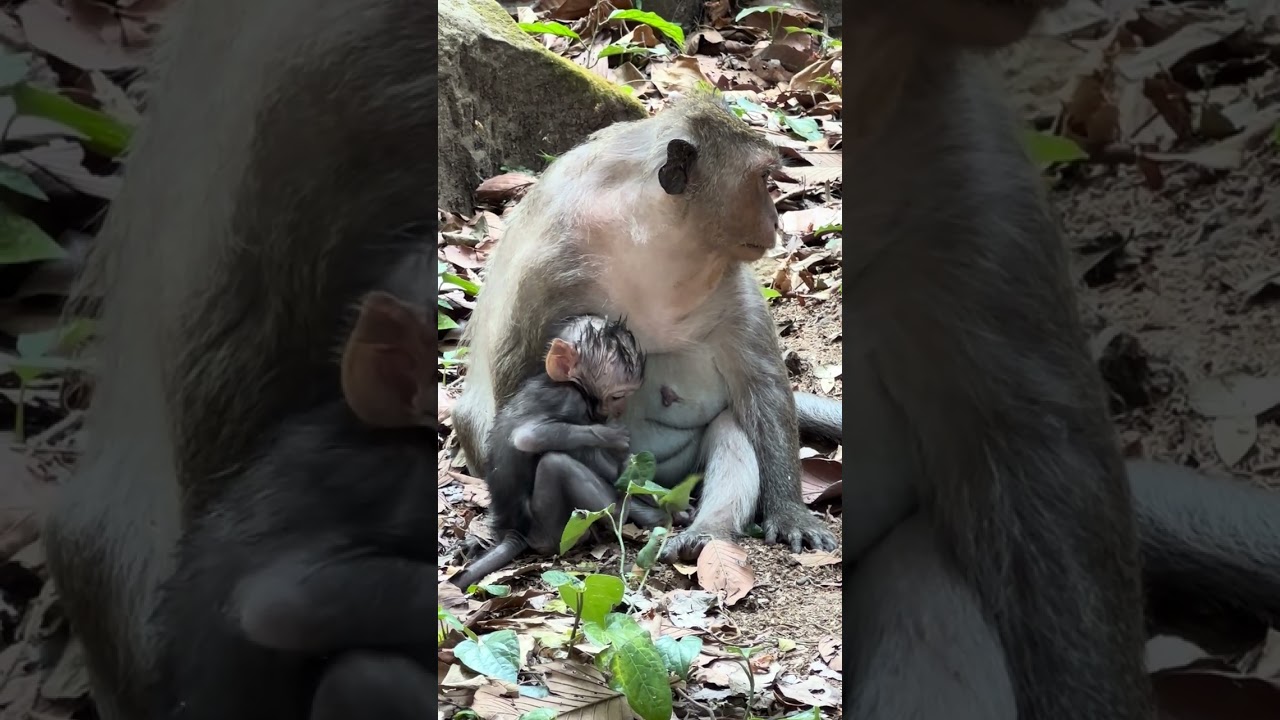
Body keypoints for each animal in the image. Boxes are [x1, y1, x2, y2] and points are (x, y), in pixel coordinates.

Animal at [451, 314, 672, 589]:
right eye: (617, 395)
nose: (620, 410)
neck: (564, 383)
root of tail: (513, 532)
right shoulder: (571, 402)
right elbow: (528, 437)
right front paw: (613, 437)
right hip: (553, 531)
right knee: (555, 463)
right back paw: (621, 511)